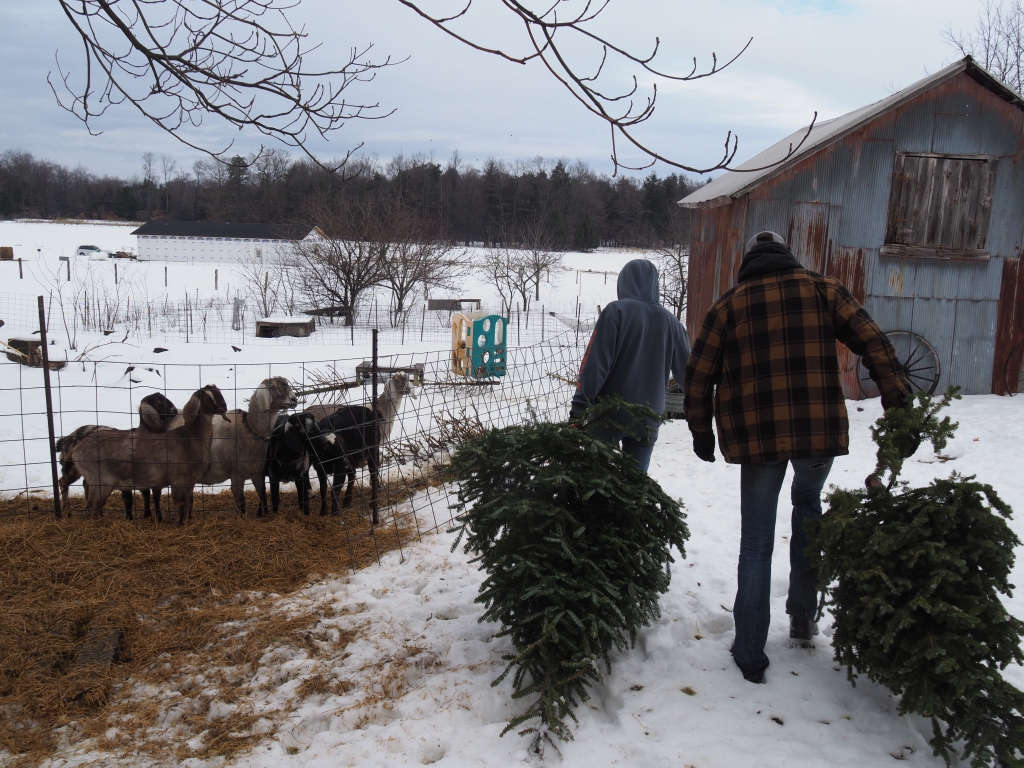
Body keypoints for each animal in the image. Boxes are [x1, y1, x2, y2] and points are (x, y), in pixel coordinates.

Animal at [72, 387, 230, 528]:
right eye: (208, 397)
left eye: (219, 392)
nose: (223, 406)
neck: (192, 438)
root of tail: (76, 450)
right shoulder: (178, 481)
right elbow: (179, 504)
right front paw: (177, 524)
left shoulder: (189, 483)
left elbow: (188, 503)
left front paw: (185, 522)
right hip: (99, 481)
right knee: (94, 503)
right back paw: (98, 522)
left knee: (96, 504)